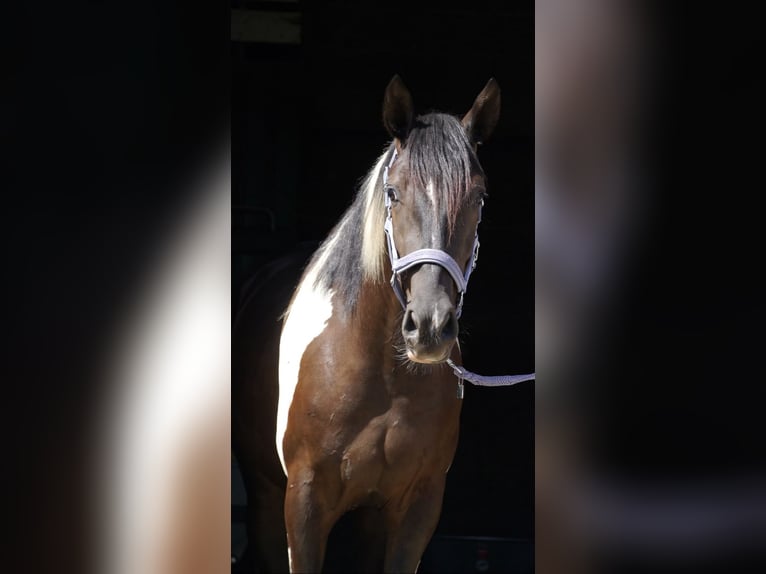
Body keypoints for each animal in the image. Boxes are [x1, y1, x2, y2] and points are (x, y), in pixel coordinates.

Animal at [232, 75, 502, 573]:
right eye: (393, 192)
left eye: (479, 196)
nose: (429, 326)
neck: (381, 371)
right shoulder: (304, 503)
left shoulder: (417, 506)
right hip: (265, 494)